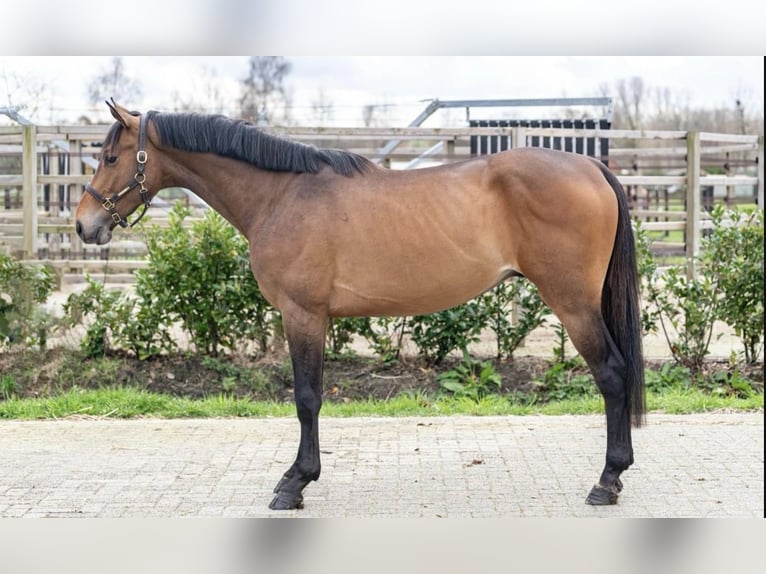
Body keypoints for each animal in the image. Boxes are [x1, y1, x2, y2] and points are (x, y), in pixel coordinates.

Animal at [76, 101, 640, 510]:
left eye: (110, 159)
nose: (84, 225)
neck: (282, 195)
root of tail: (591, 165)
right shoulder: (313, 318)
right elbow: (312, 396)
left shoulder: (302, 314)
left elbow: (306, 398)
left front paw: (295, 484)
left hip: (573, 303)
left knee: (613, 375)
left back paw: (606, 481)